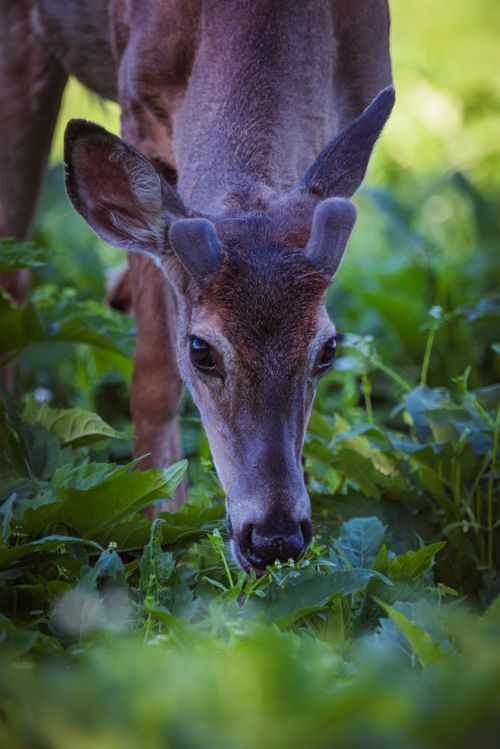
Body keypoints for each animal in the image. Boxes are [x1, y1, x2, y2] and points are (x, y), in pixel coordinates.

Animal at [0, 0, 393, 574]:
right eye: (201, 350)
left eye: (329, 350)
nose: (275, 539)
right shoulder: (137, 103)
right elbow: (153, 379)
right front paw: (158, 527)